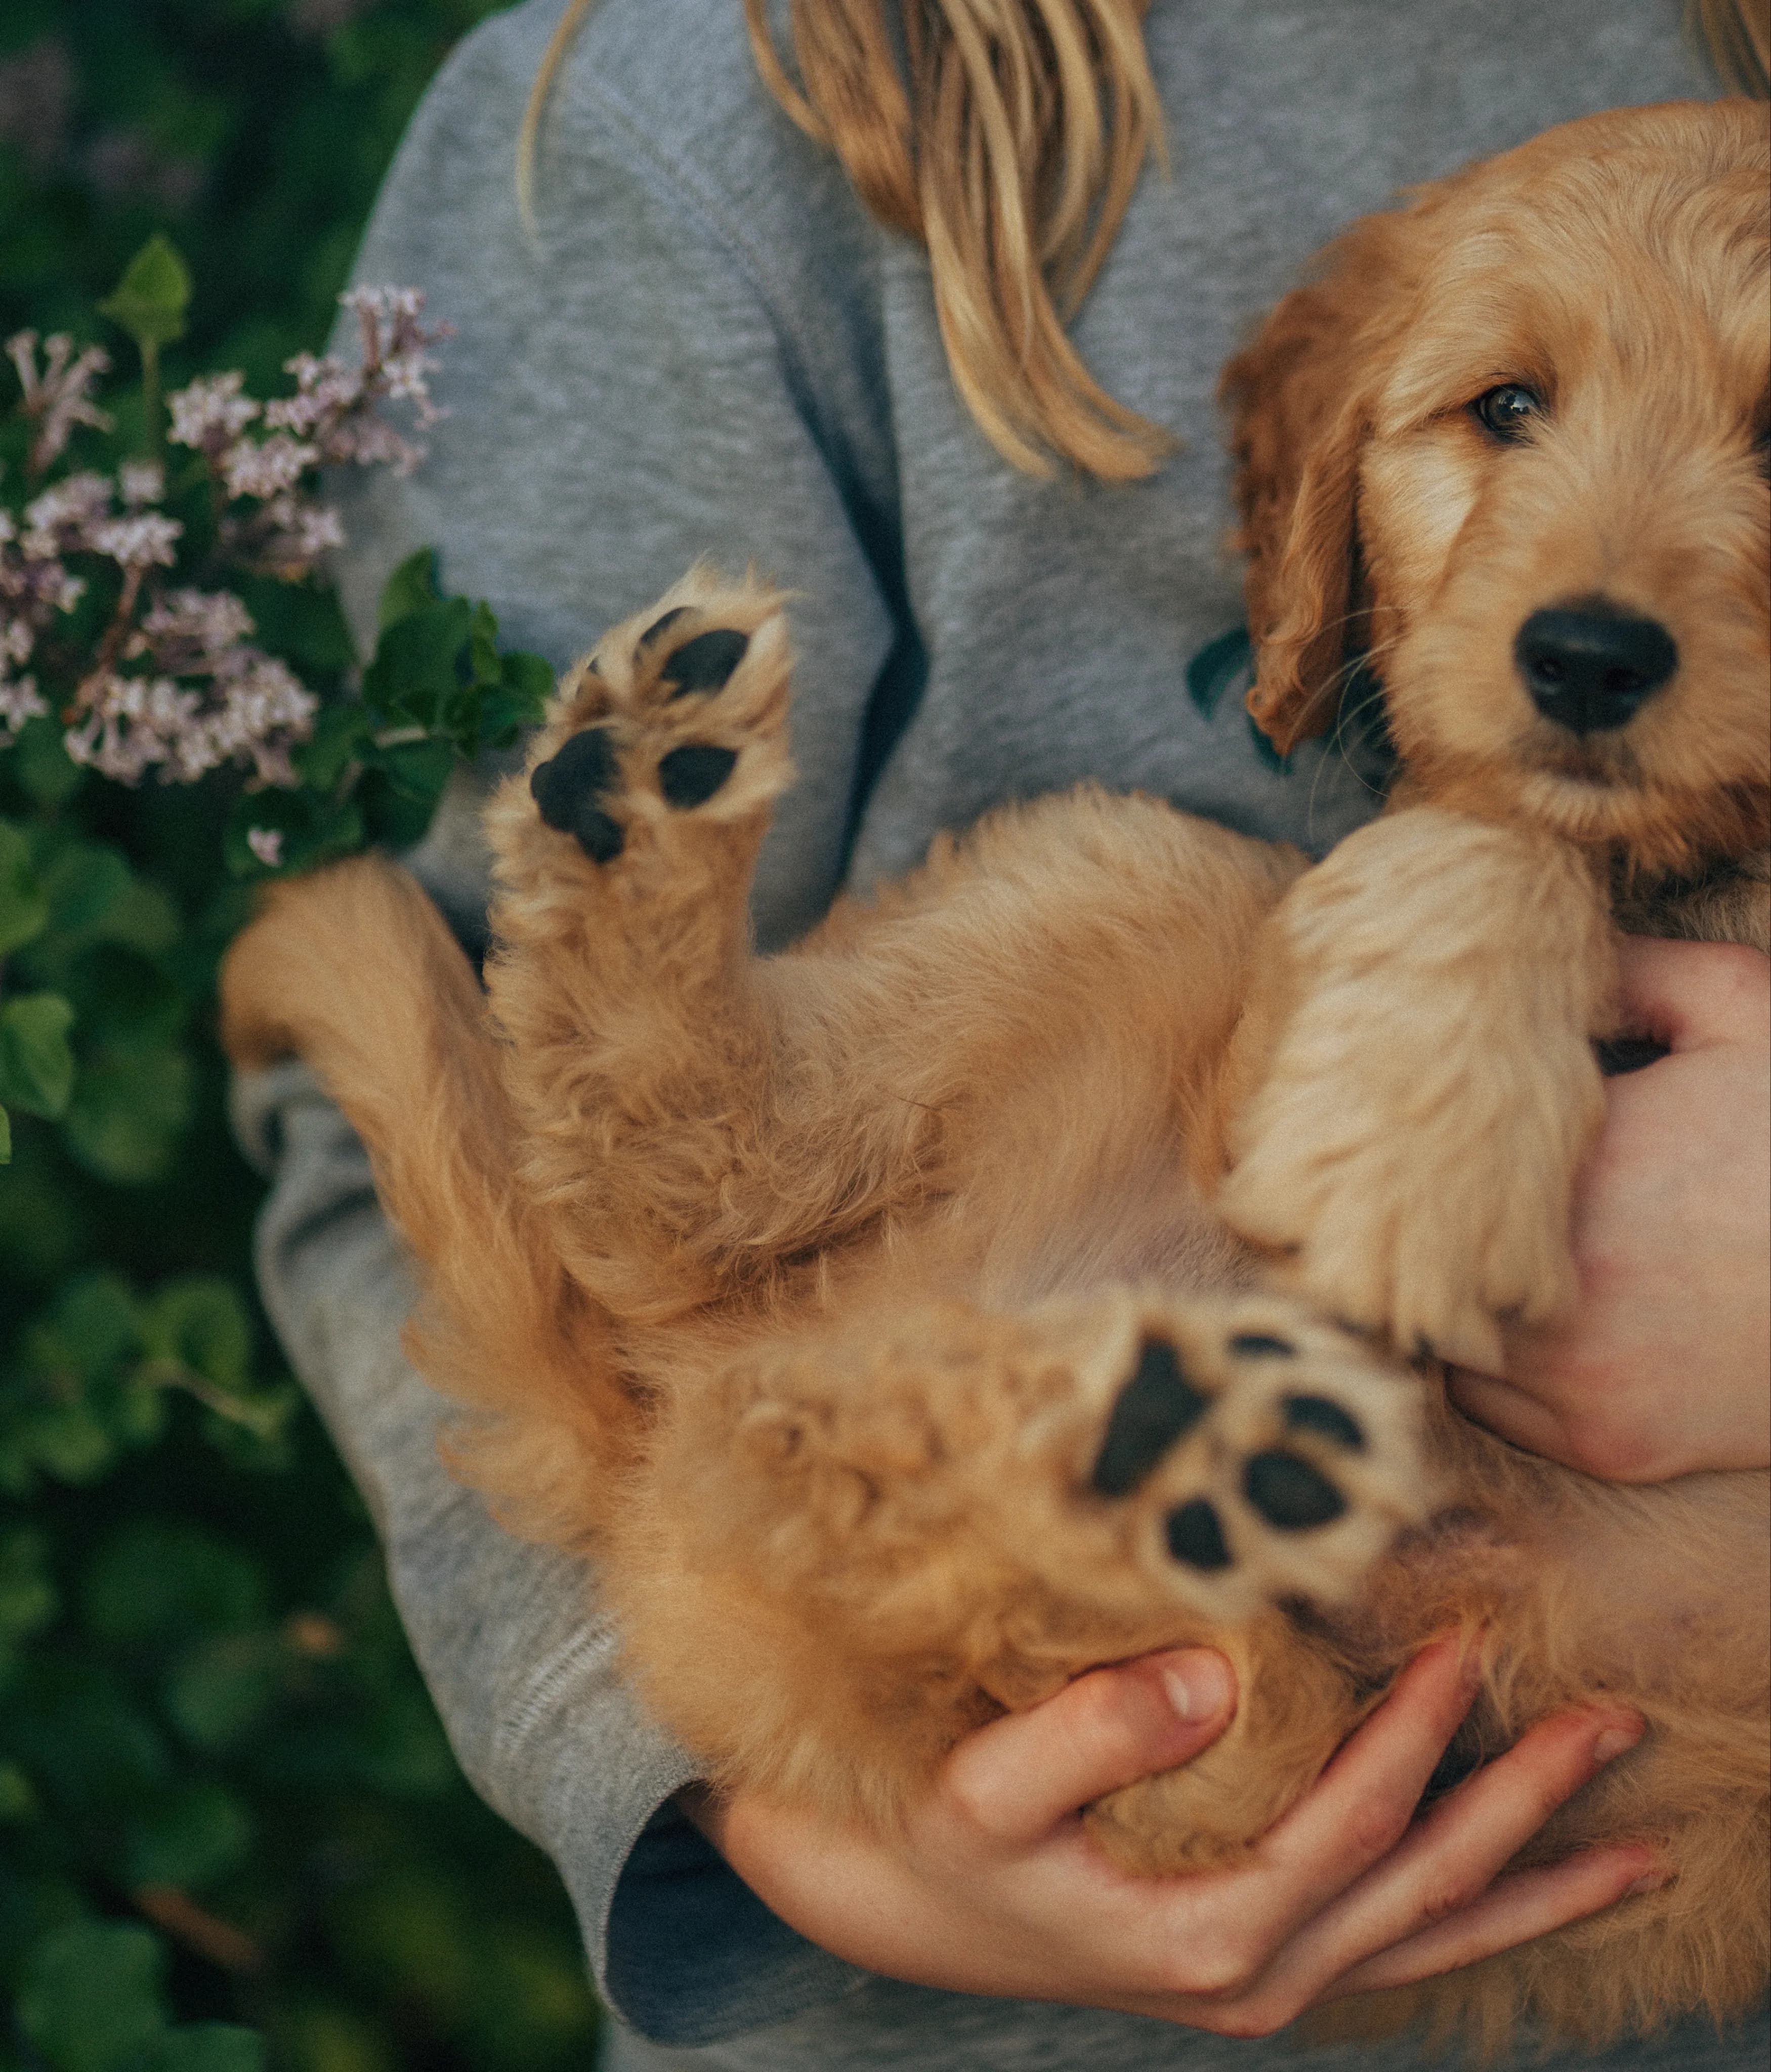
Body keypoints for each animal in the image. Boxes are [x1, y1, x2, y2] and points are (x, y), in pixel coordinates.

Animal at [225, 101, 1771, 2055]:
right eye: (1506, 407)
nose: (1581, 656)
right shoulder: (1413, 854)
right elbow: (1502, 835)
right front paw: (1421, 1158)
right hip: (1143, 884)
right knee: (685, 1198)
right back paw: (643, 801)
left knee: (1191, 1706)